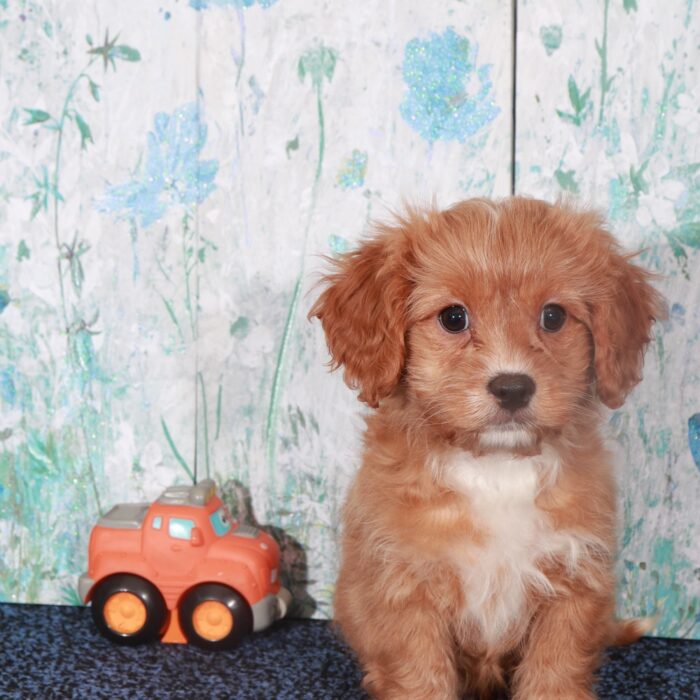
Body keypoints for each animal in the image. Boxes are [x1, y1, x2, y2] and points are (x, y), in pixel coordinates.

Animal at [308, 197, 664, 700]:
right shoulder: (405, 591)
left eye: (553, 317)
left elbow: (554, 672)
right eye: (453, 318)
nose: (512, 387)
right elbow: (422, 678)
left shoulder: (573, 582)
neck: (496, 467)